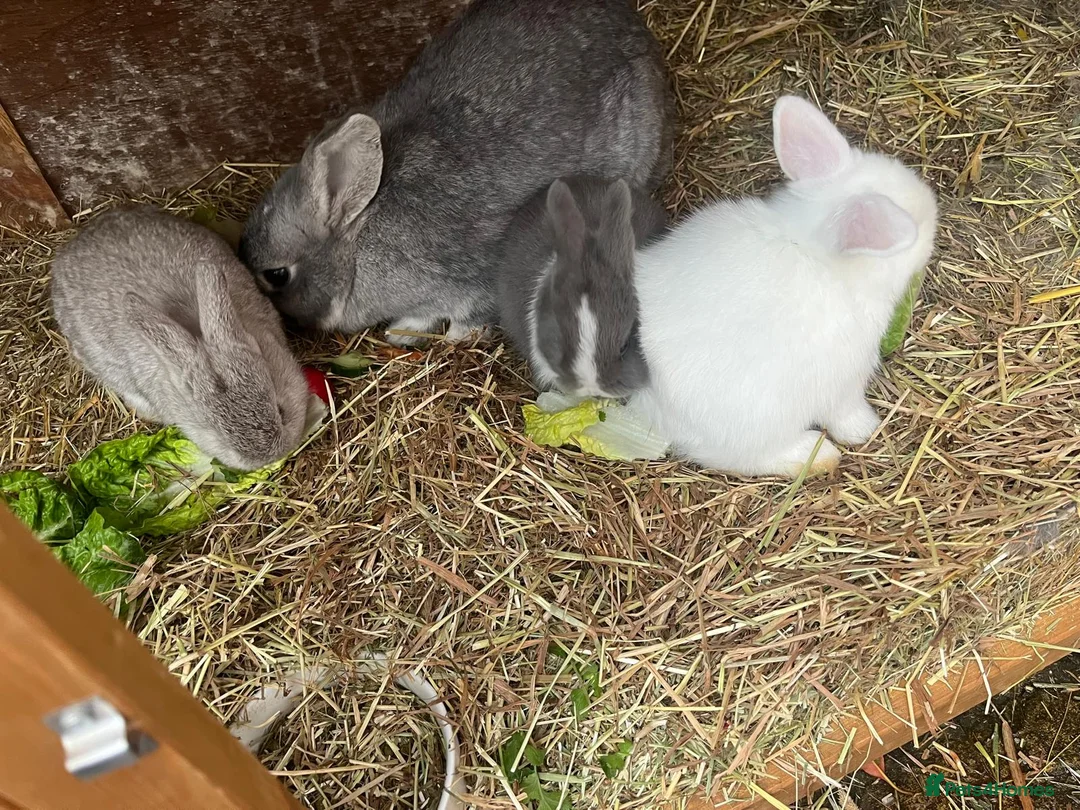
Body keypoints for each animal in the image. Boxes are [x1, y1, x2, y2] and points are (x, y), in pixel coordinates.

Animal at [238, 0, 674, 347]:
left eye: (276, 275)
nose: (287, 323)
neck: (356, 240)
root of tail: (641, 34)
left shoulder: (469, 279)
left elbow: (465, 311)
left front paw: (437, 335)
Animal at [627, 95, 939, 478]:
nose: (932, 205)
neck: (812, 247)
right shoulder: (846, 377)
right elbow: (845, 413)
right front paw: (866, 429)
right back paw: (817, 455)